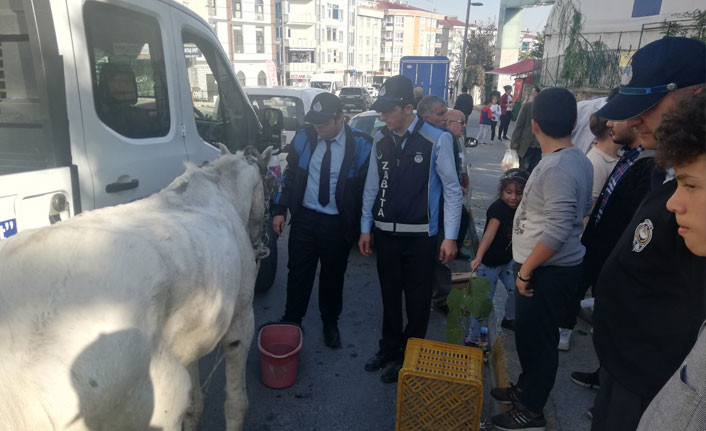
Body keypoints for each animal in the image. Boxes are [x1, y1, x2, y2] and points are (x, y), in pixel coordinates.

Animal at [0, 146, 272, 431]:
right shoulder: (241, 318)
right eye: (268, 189)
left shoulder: (193, 332)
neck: (219, 189)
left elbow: (195, 404)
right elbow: (236, 404)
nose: (261, 244)